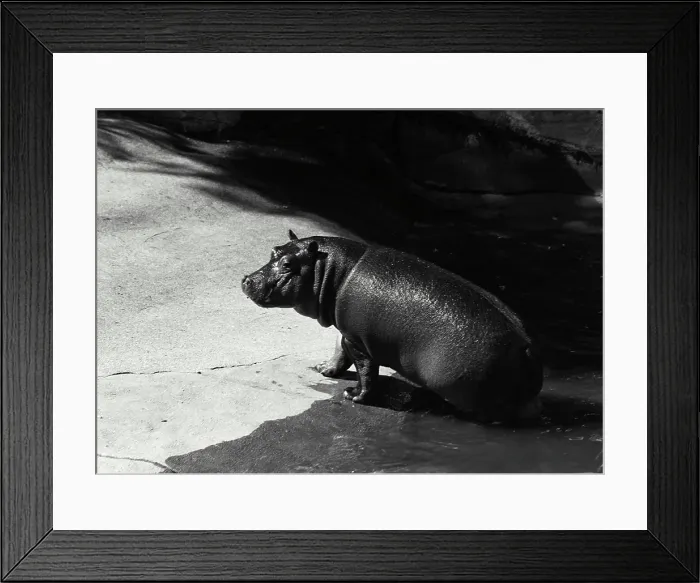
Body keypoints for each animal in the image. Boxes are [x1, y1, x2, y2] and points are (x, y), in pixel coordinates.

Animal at [241, 230, 542, 423]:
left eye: (288, 264)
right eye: (274, 251)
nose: (246, 280)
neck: (334, 270)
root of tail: (526, 347)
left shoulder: (358, 340)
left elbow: (365, 371)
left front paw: (354, 395)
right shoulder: (345, 330)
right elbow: (338, 352)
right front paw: (323, 369)